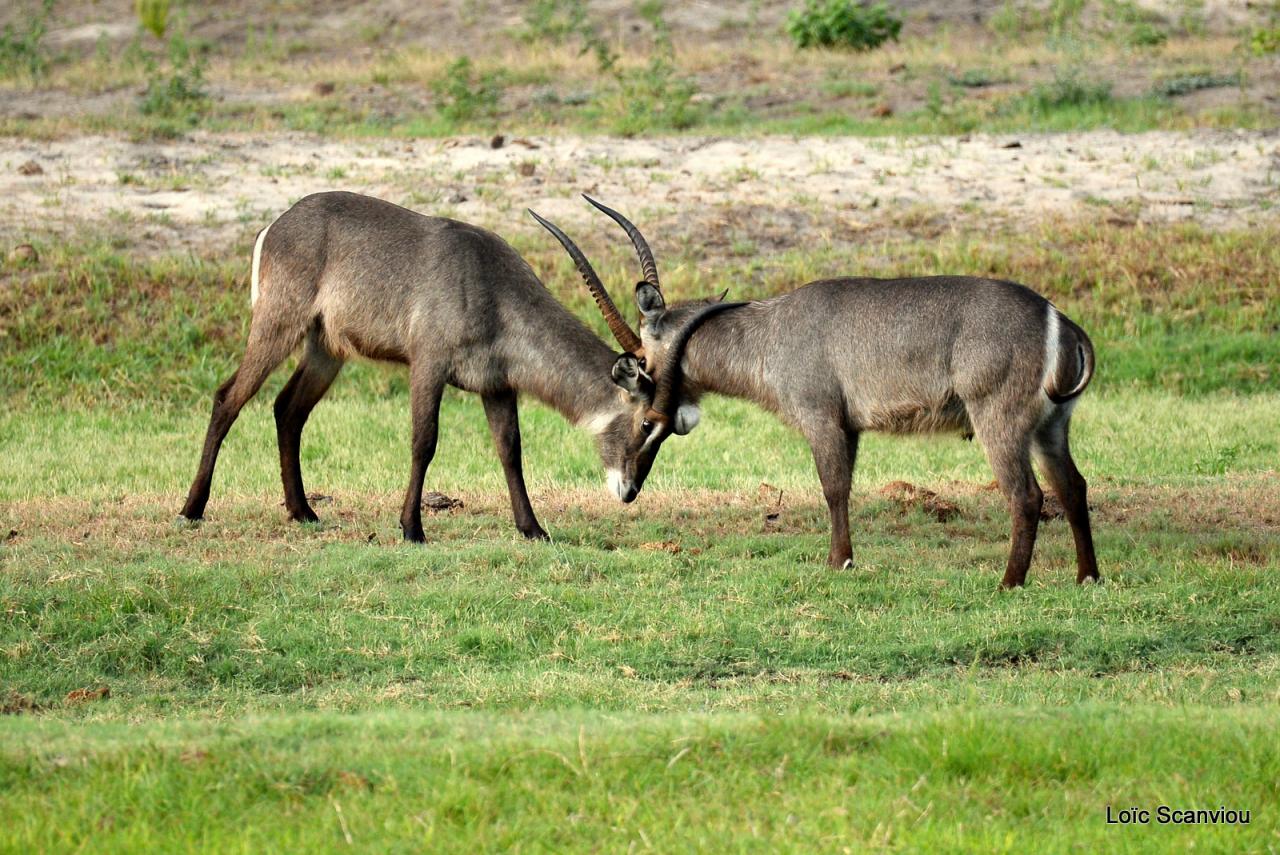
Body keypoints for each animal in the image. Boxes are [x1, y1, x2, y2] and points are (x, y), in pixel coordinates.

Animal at [181, 193, 675, 540]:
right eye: (647, 422)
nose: (631, 491)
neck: (491, 286)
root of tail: (276, 223)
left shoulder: (496, 386)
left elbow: (510, 450)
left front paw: (533, 529)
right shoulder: (427, 365)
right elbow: (424, 442)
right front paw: (411, 528)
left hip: (326, 348)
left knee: (288, 409)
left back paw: (303, 512)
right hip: (278, 324)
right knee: (228, 397)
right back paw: (192, 509)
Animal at [540, 199, 1100, 588]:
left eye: (641, 362)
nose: (629, 490)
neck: (767, 334)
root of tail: (1057, 318)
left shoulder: (822, 418)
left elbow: (832, 488)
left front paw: (839, 563)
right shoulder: (850, 427)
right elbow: (844, 486)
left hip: (998, 420)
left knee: (1027, 495)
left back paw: (1009, 583)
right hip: (1050, 426)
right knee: (1073, 486)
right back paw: (1087, 577)